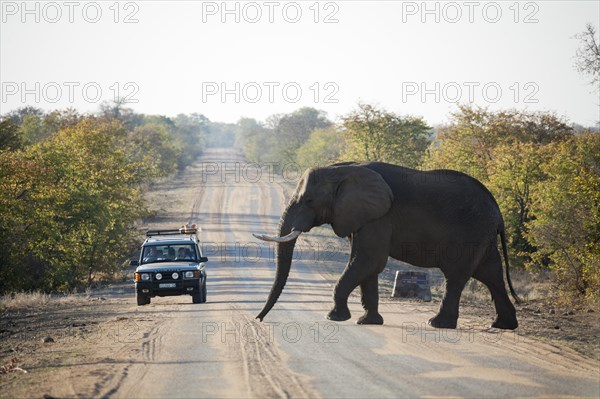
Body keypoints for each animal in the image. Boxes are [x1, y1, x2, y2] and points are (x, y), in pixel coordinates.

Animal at [253, 162, 520, 332]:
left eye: (309, 201)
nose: (258, 319)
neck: (342, 170)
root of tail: (498, 212)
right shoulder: (362, 217)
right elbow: (366, 265)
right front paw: (367, 322)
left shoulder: (380, 217)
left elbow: (369, 260)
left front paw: (335, 318)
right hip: (483, 236)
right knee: (491, 275)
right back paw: (502, 325)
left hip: (471, 234)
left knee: (456, 276)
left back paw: (437, 324)